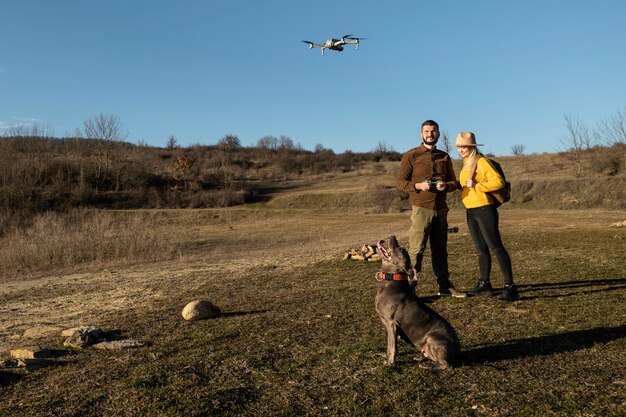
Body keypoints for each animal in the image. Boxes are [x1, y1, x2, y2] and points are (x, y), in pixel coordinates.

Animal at [372, 236, 460, 368]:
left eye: (401, 249)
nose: (393, 236)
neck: (391, 280)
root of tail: (458, 350)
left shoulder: (392, 324)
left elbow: (393, 348)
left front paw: (390, 363)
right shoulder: (387, 324)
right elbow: (389, 346)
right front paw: (384, 356)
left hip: (432, 339)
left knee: (447, 365)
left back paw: (427, 366)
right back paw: (420, 358)